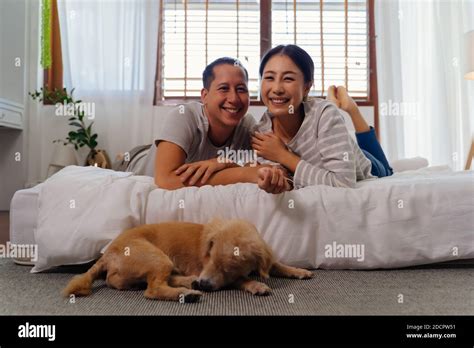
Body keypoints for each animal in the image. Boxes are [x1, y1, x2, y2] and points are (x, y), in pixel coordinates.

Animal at [64, 220, 314, 302]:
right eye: (209, 259)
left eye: (230, 268)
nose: (204, 283)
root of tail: (106, 255)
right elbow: (243, 280)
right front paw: (256, 285)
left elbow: (277, 264)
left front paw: (299, 270)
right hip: (159, 258)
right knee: (153, 290)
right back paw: (188, 293)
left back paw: (190, 285)